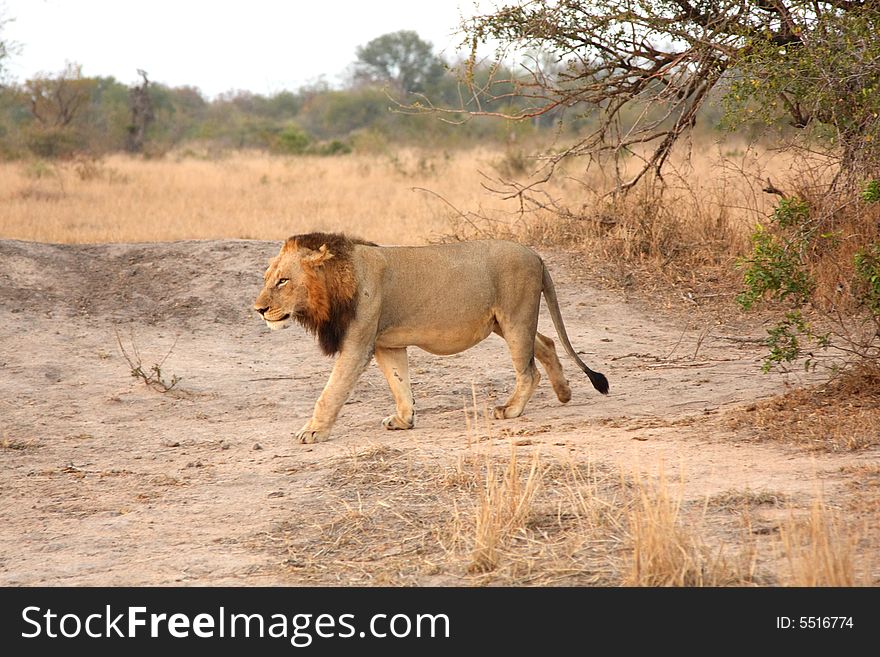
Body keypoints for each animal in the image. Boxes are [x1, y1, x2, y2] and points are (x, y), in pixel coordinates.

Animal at [254, 233, 604, 444]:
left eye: (283, 281)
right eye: (267, 279)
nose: (259, 309)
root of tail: (536, 255)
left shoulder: (358, 344)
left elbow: (332, 391)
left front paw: (312, 431)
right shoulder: (387, 344)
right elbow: (400, 383)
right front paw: (403, 420)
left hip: (515, 317)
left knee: (528, 370)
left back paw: (510, 410)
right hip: (503, 323)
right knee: (546, 344)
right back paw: (564, 393)